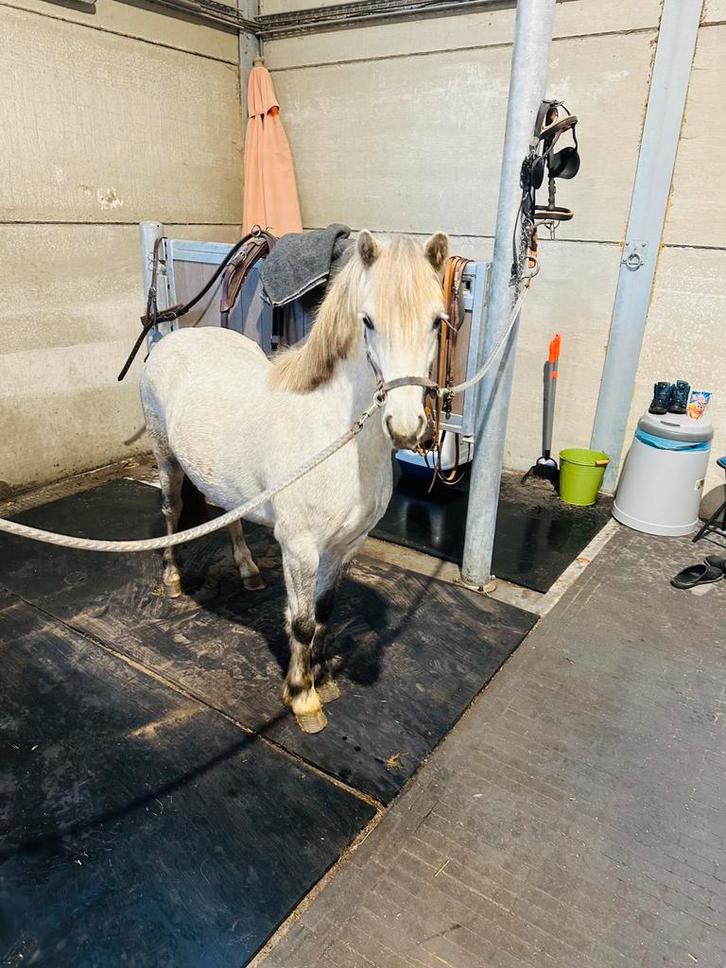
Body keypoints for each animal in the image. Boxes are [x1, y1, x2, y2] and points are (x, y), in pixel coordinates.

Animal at [140, 229, 449, 733]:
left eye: (437, 322)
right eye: (368, 321)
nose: (405, 427)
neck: (335, 438)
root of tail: (173, 337)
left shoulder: (345, 546)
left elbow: (324, 613)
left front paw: (322, 678)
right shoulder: (300, 548)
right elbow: (301, 622)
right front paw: (303, 698)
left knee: (229, 517)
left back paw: (248, 572)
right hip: (165, 459)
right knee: (171, 511)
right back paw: (171, 579)